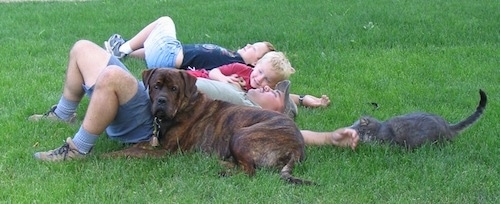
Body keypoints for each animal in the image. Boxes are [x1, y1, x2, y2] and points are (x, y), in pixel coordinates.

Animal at [108, 68, 314, 185]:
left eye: (174, 88)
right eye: (156, 86)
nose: (161, 100)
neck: (183, 106)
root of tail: (298, 147)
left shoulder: (165, 152)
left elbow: (131, 152)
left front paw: (105, 157)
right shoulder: (155, 144)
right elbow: (138, 146)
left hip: (240, 135)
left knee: (250, 171)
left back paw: (222, 170)